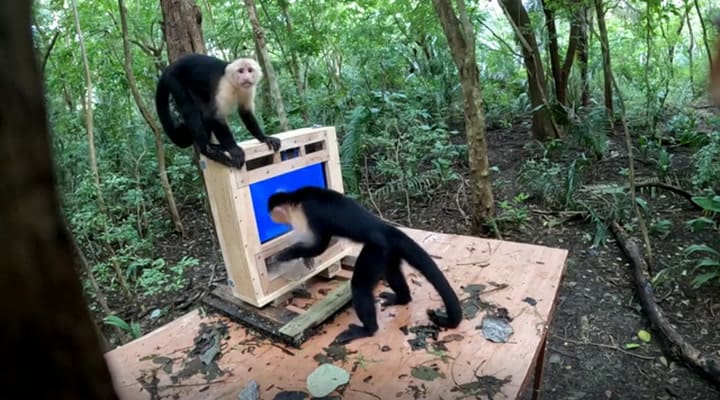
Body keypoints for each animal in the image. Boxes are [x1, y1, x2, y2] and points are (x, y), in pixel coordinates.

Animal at [267, 186, 463, 345]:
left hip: (376, 249)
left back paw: (368, 330)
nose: (271, 218)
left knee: (360, 286)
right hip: (388, 250)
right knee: (392, 272)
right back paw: (402, 299)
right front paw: (305, 259)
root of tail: (388, 229)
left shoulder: (309, 212)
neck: (298, 198)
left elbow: (320, 245)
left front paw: (283, 255)